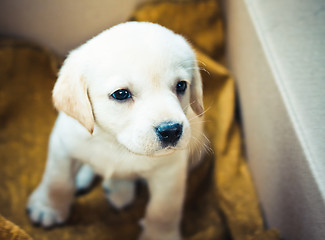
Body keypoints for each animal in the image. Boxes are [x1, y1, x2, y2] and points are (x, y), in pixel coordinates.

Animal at [27, 21, 205, 239]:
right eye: (121, 94)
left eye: (181, 85)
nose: (171, 130)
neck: (114, 142)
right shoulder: (62, 145)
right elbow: (57, 180)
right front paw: (48, 207)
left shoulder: (170, 171)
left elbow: (163, 210)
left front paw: (160, 234)